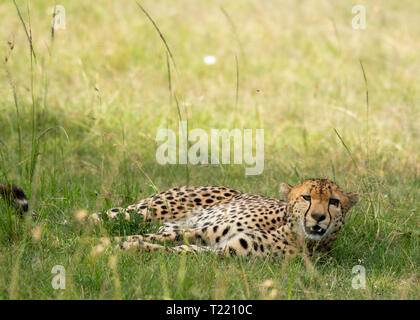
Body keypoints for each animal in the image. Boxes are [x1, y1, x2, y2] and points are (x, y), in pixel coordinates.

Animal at [93, 179, 360, 258]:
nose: (318, 217)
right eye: (306, 197)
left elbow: (178, 250)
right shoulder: (199, 231)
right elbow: (159, 238)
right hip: (146, 211)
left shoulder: (224, 251)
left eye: (334, 202)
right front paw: (106, 244)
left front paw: (127, 246)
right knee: (100, 217)